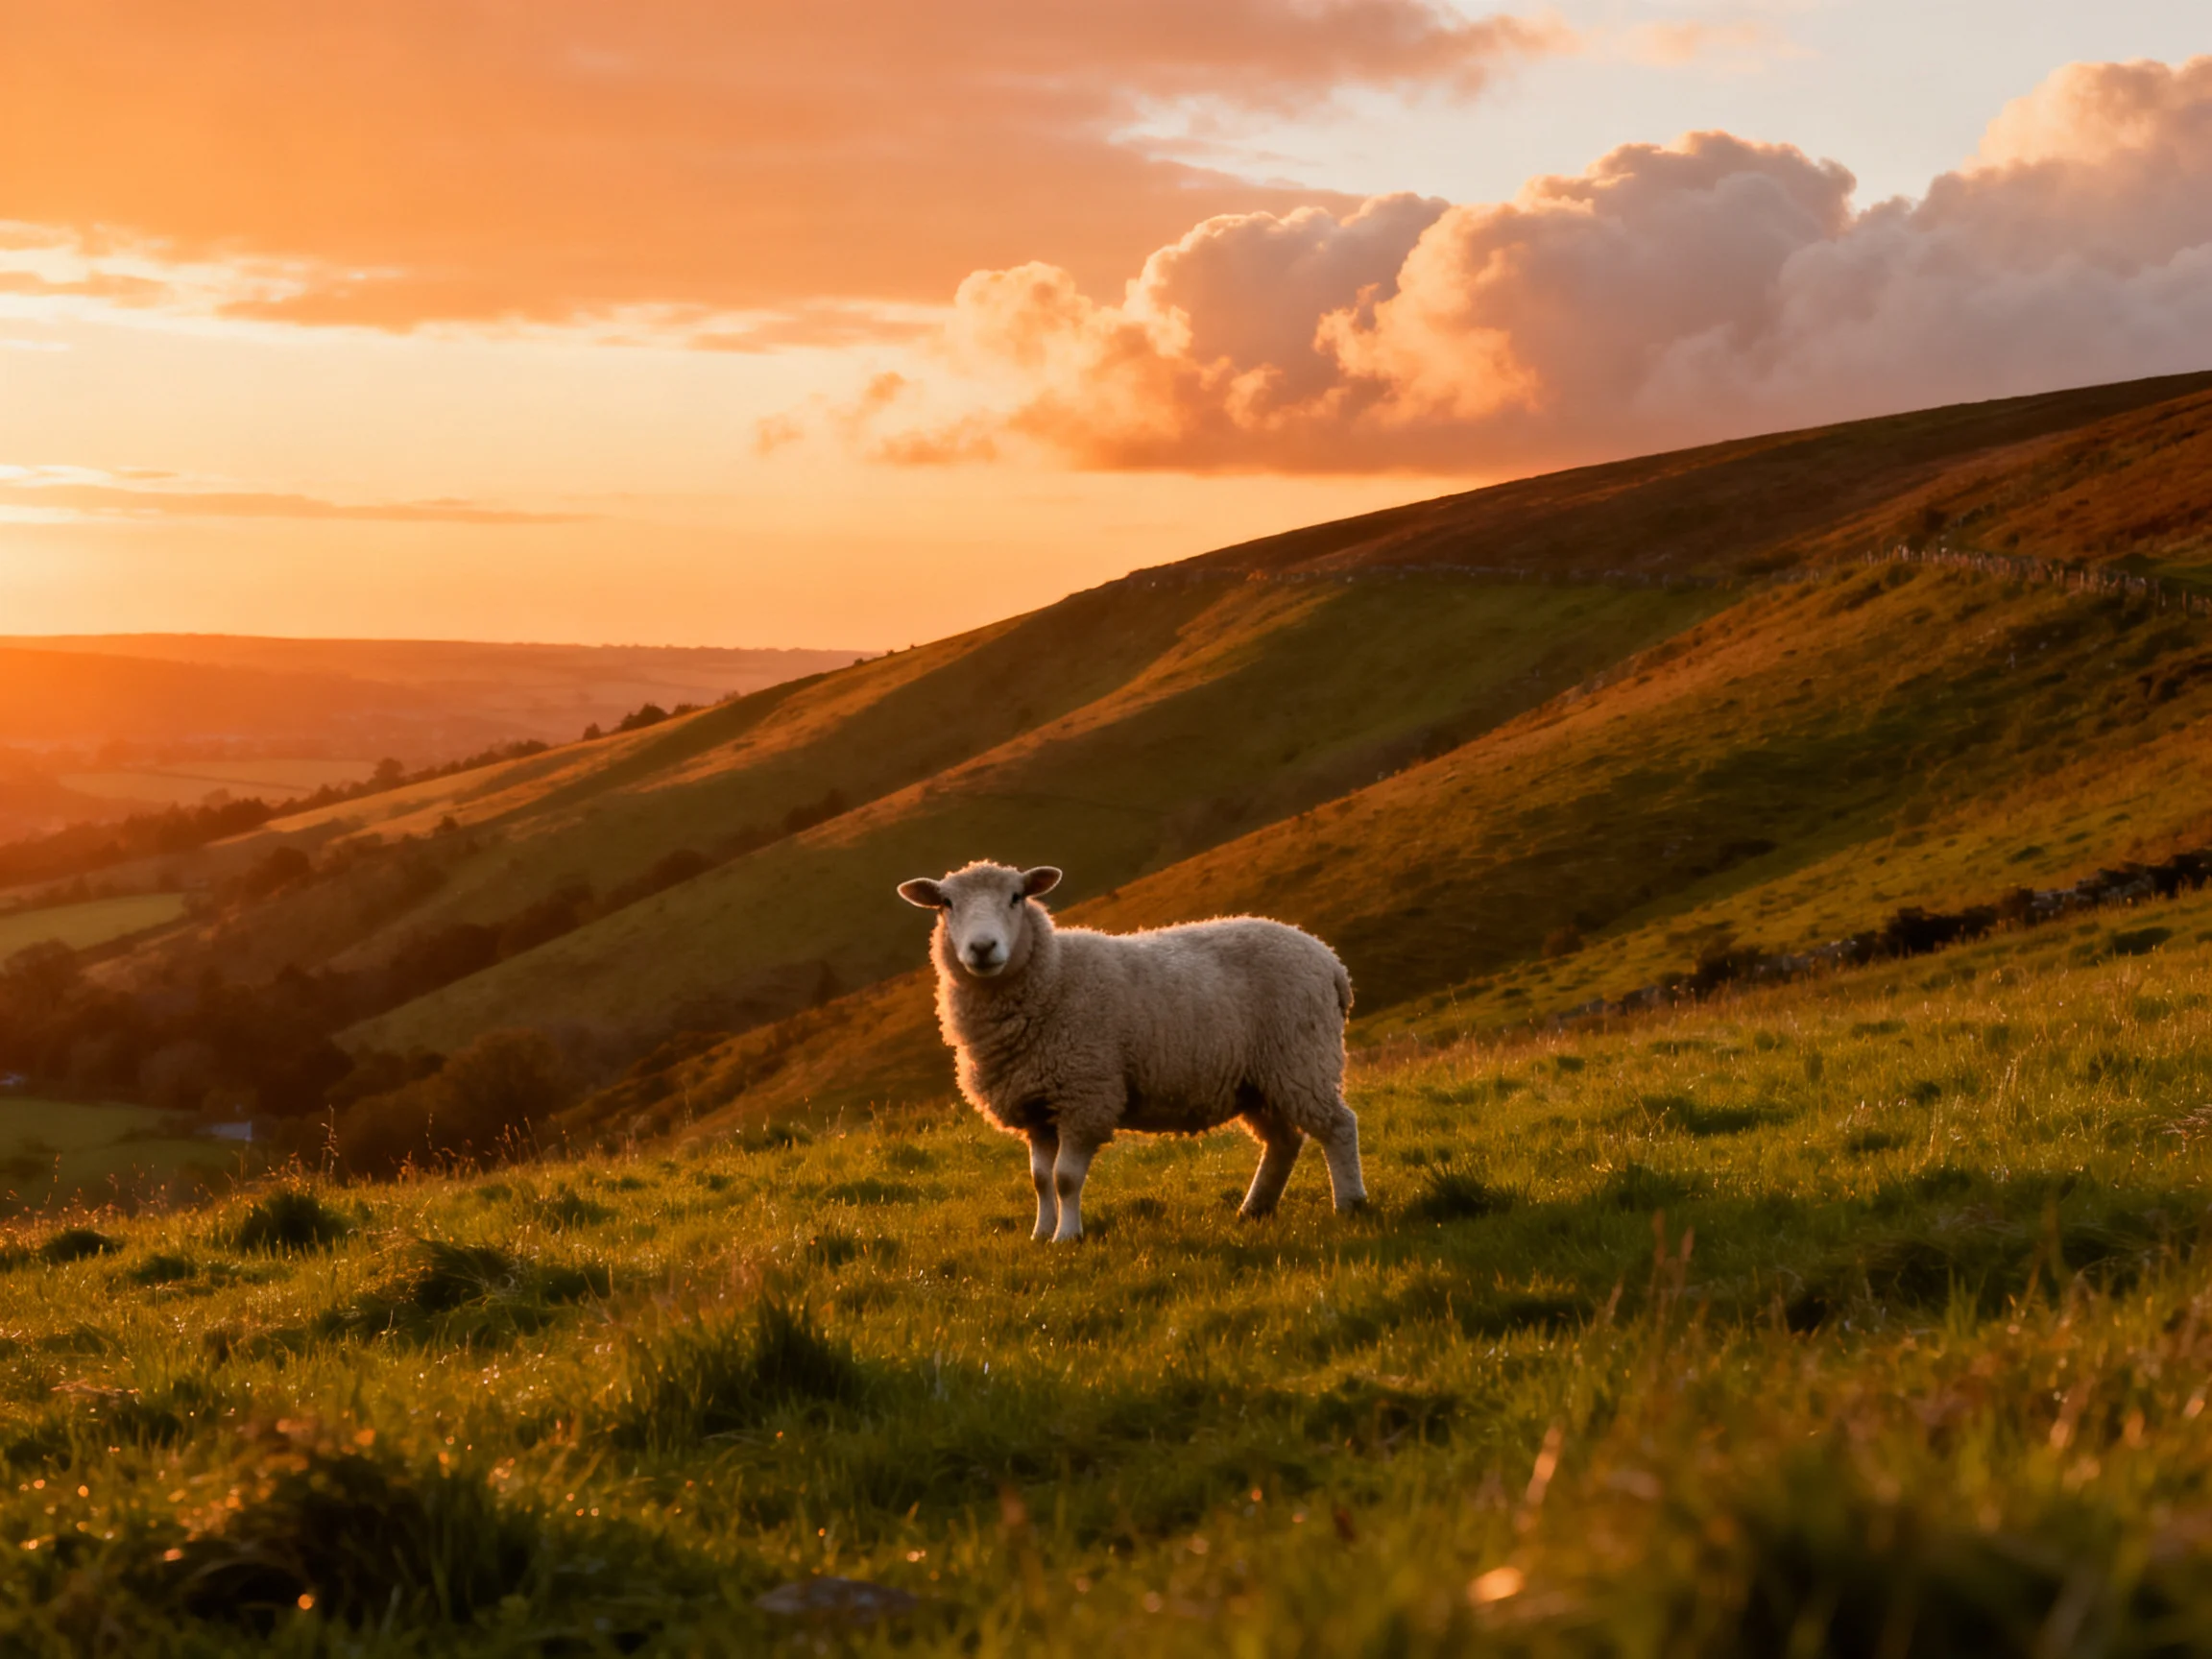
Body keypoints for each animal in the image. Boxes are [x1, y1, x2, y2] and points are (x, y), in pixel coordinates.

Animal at [896, 860, 1365, 1242]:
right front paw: (1040, 1234)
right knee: (1283, 1141)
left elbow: (1065, 1179)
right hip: (1256, 1080)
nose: (982, 948)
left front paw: (1068, 1237)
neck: (1053, 975)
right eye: (946, 903)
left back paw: (1350, 1204)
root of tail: (1329, 960)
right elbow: (1040, 1180)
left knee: (1338, 1126)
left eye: (1017, 897)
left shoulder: (1085, 1096)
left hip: (1301, 1056)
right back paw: (1254, 1209)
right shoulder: (1037, 1107)